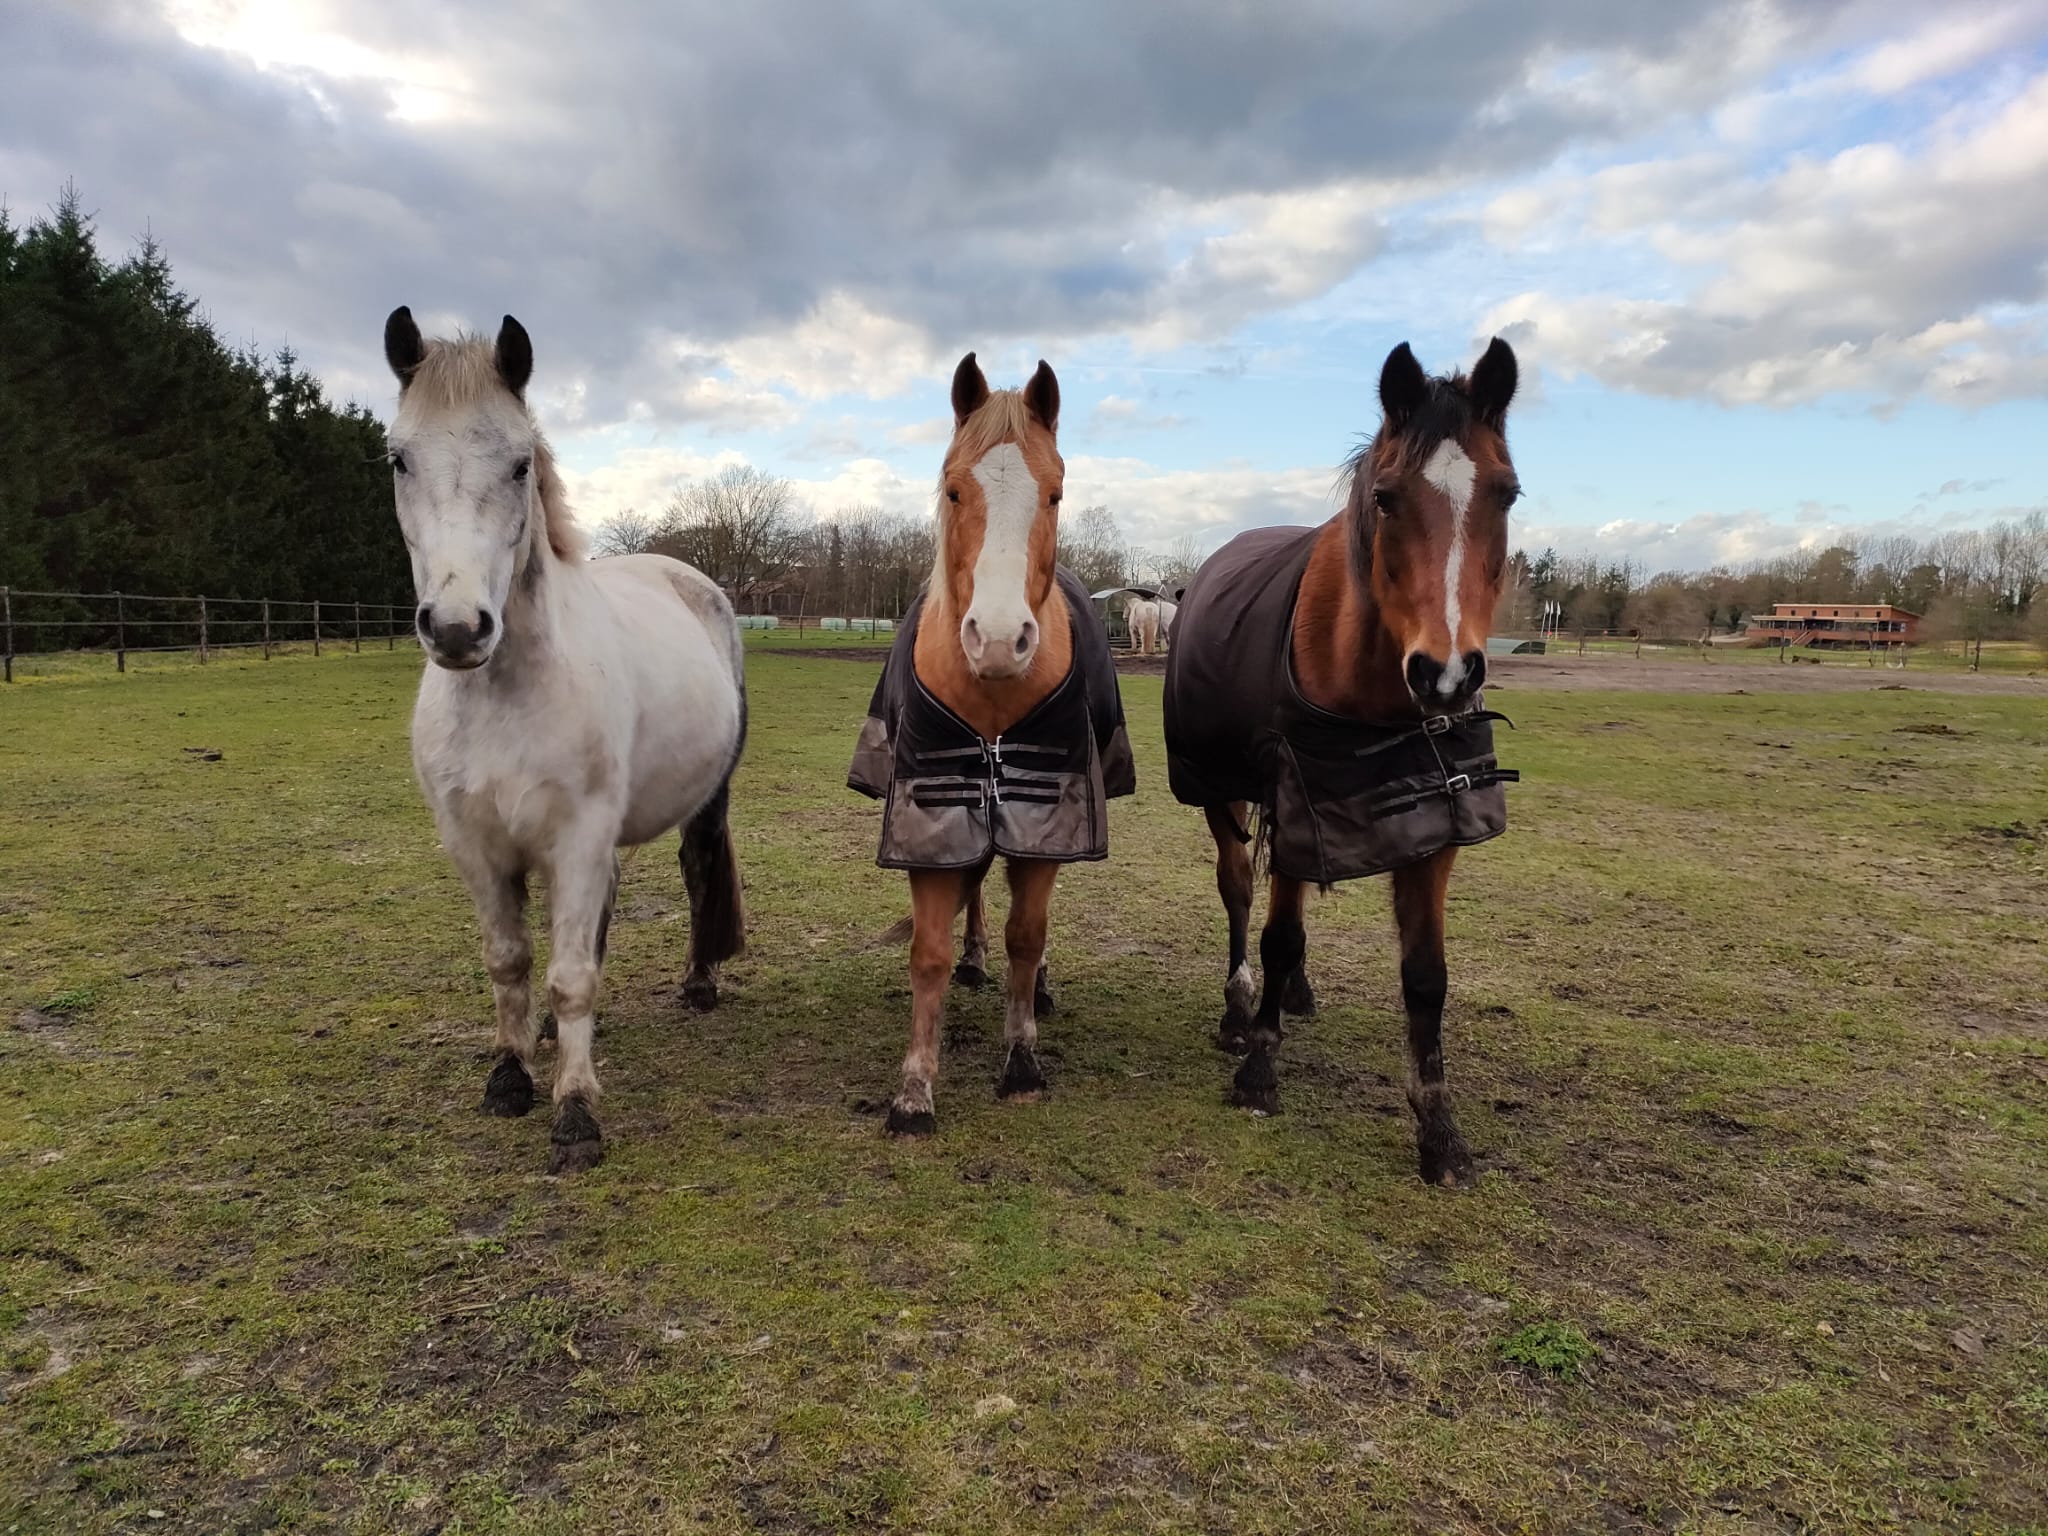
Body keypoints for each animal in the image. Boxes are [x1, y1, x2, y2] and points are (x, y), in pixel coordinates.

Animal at [382, 308, 748, 1174]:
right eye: (398, 458)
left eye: (520, 465)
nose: (457, 629)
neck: (508, 695)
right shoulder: (478, 847)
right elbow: (511, 962)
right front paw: (512, 1075)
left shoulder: (578, 836)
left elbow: (573, 974)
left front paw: (576, 1112)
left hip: (704, 801)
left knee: (697, 872)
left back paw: (698, 985)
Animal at [848, 353, 1135, 1135]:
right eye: (953, 488)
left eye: (1055, 494)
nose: (1002, 640)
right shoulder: (933, 818)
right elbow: (929, 953)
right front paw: (914, 1090)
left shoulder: (1045, 820)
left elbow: (1027, 936)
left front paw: (1022, 1059)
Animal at [1163, 339, 1522, 1186]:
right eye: (1386, 498)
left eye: (1507, 493)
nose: (1447, 674)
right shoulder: (1296, 797)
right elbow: (1276, 932)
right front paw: (1258, 1070)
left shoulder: (1431, 821)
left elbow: (1426, 976)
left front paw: (1439, 1131)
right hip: (1220, 792)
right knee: (1239, 889)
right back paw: (1242, 1006)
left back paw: (1291, 996)